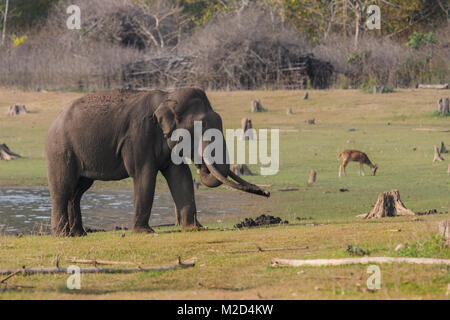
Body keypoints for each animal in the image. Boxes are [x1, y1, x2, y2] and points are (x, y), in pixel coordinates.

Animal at [46, 88, 268, 238]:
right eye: (201, 126)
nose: (265, 192)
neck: (167, 97)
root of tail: (54, 119)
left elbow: (181, 177)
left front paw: (194, 228)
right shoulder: (139, 136)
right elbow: (144, 175)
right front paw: (145, 233)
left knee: (77, 191)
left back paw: (78, 234)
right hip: (60, 150)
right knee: (63, 188)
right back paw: (62, 235)